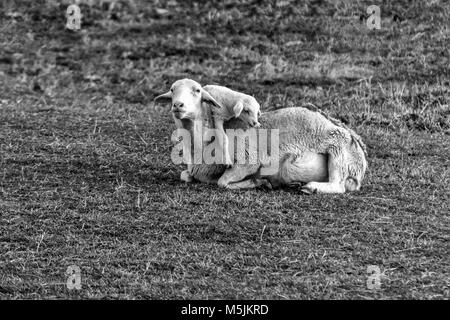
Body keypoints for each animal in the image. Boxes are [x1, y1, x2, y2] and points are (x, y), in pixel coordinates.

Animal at [153, 79, 368, 194]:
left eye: (197, 91)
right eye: (172, 90)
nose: (178, 105)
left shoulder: (250, 160)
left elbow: (224, 182)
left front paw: (259, 182)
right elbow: (185, 176)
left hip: (339, 149)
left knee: (338, 185)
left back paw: (311, 187)